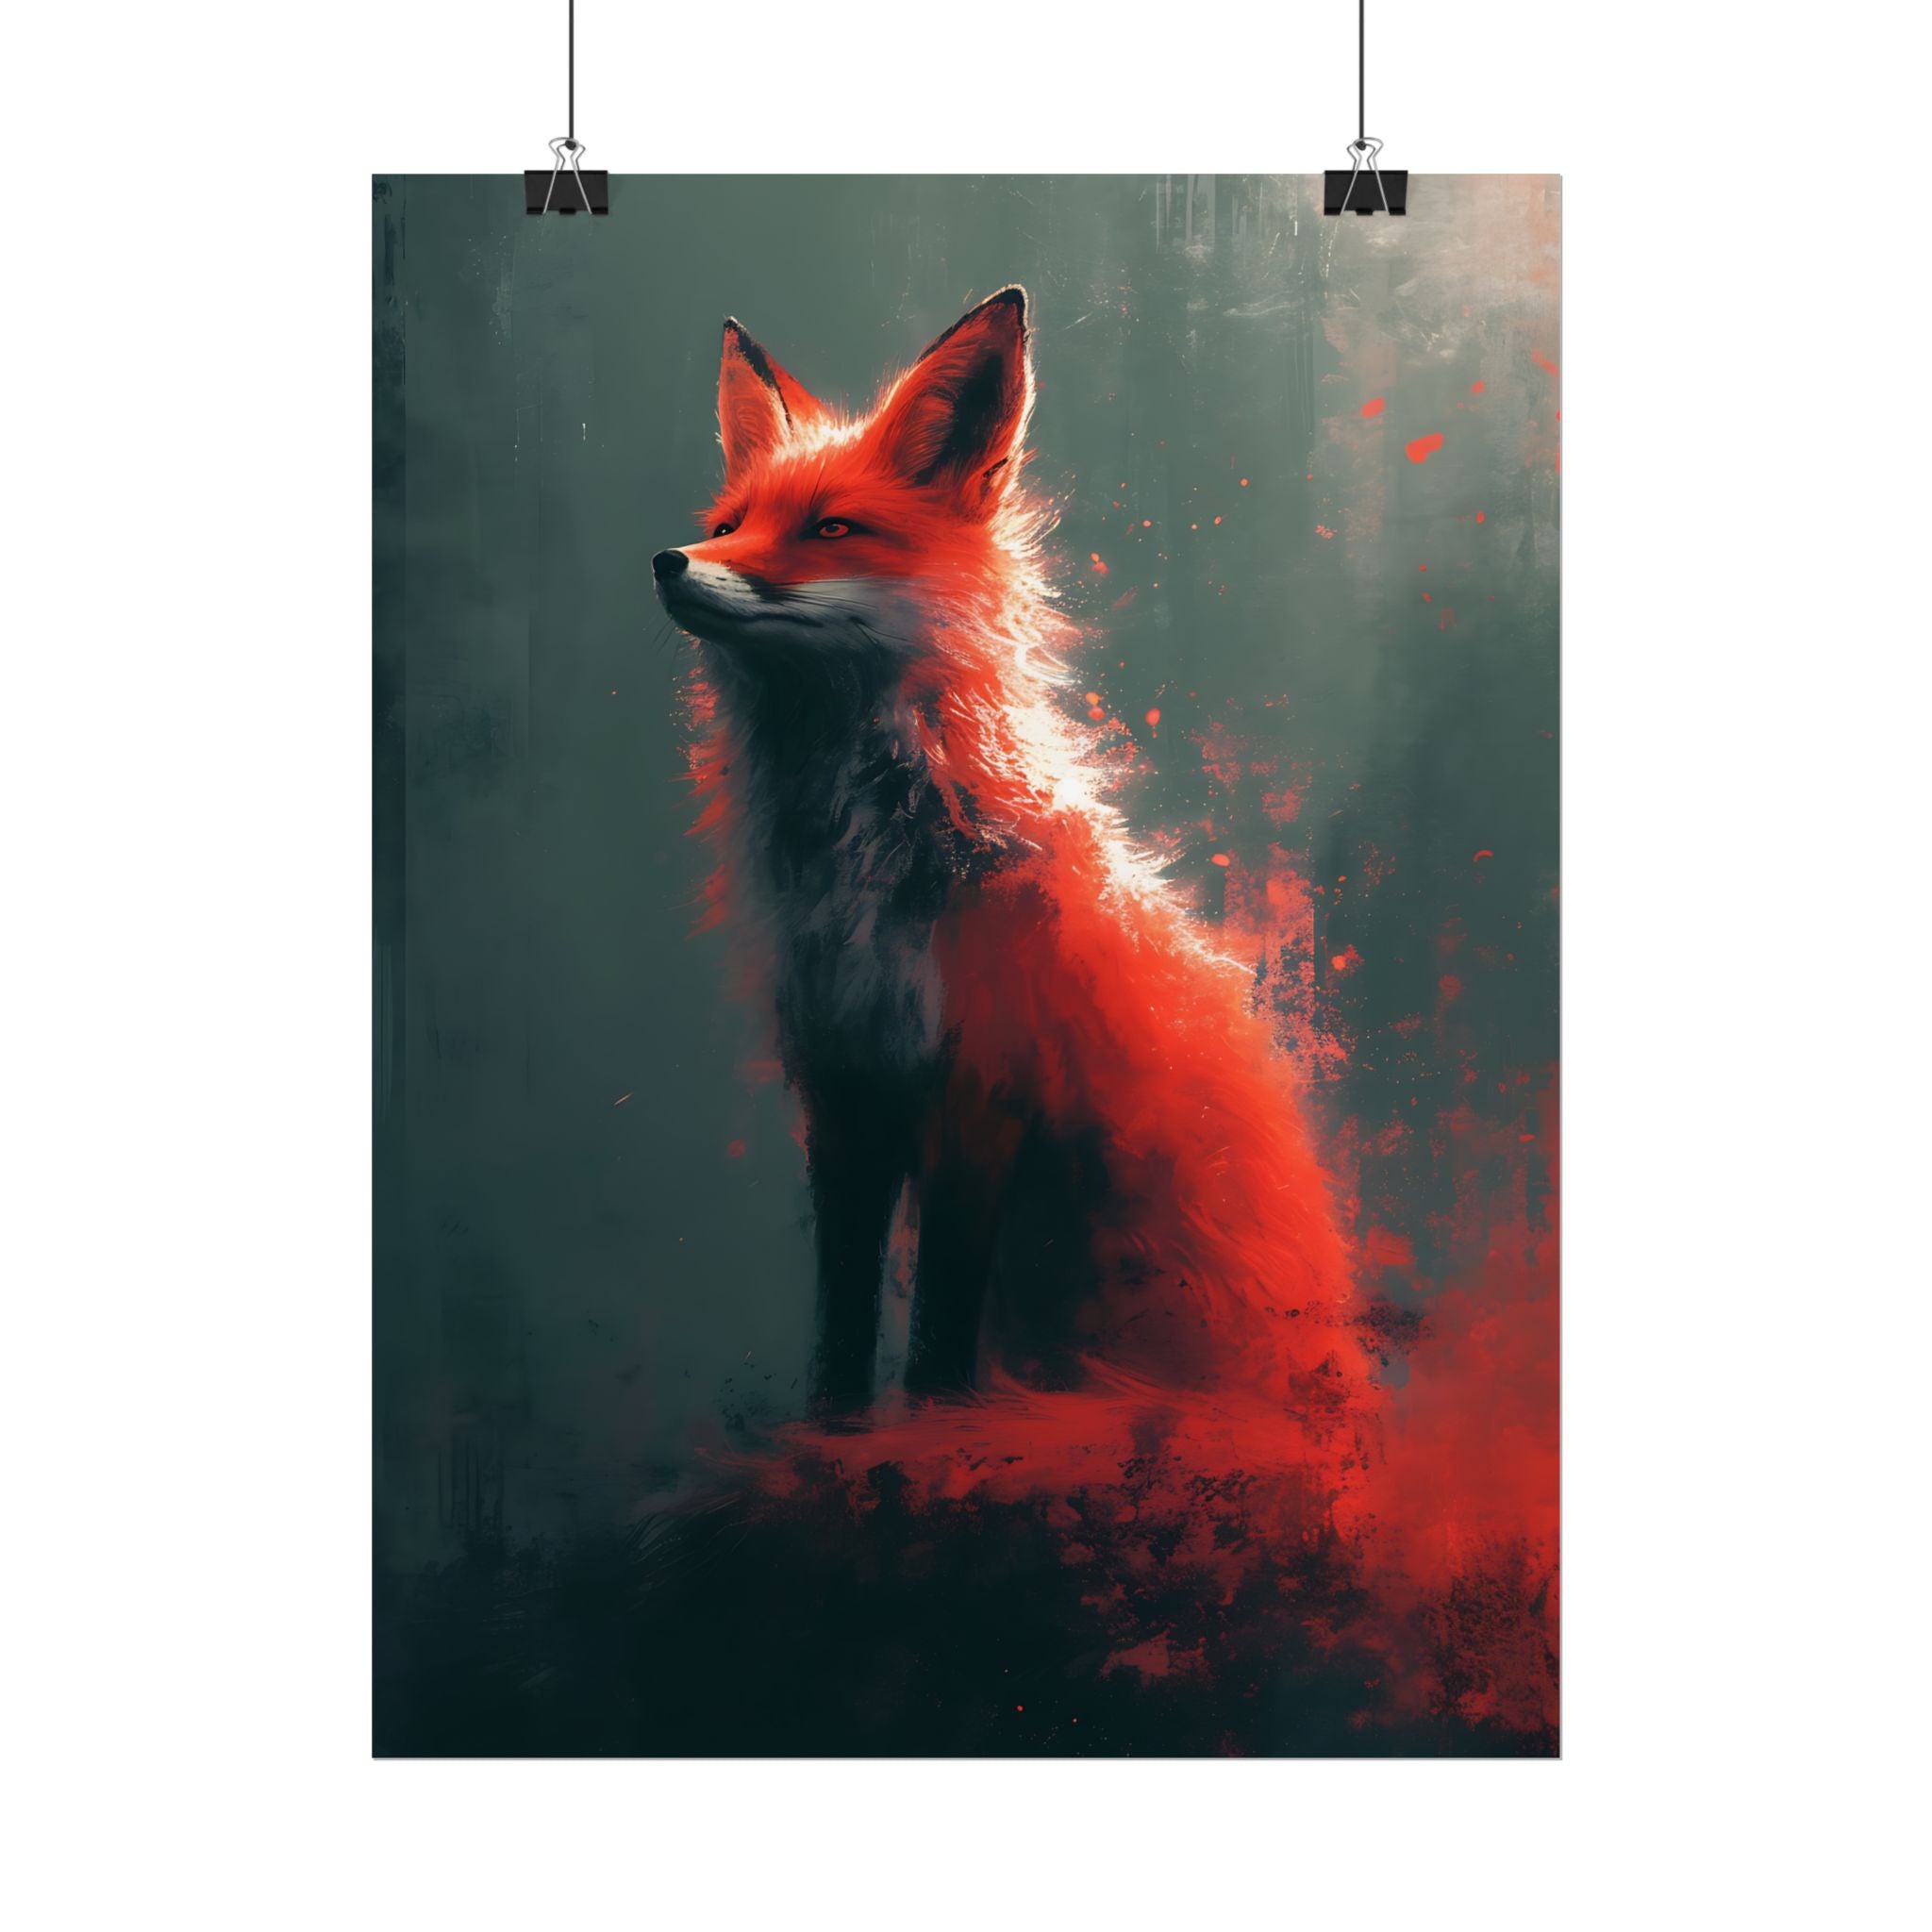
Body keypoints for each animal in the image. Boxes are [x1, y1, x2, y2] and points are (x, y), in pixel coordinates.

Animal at [653, 287, 1373, 1435]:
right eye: (729, 526)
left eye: (830, 529)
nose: (669, 561)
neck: (867, 870)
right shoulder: (842, 1088)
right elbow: (842, 1315)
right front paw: (834, 1432)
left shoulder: (982, 1087)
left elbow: (940, 1328)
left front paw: (934, 1431)